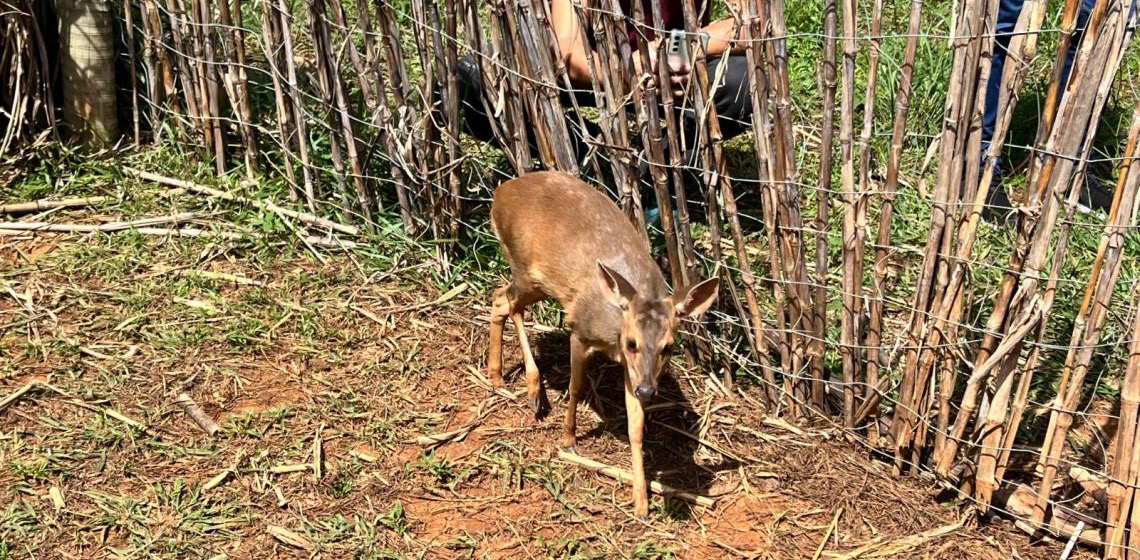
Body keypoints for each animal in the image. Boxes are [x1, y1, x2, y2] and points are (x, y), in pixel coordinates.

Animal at [485, 172, 715, 522]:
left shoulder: (633, 370)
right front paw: (569, 440)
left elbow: (636, 427)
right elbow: (576, 386)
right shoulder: (580, 330)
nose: (648, 390)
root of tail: (500, 192)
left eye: (669, 347)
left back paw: (499, 377)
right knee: (504, 300)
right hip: (526, 269)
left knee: (502, 300)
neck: (615, 329)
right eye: (632, 342)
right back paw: (530, 390)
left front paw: (641, 503)